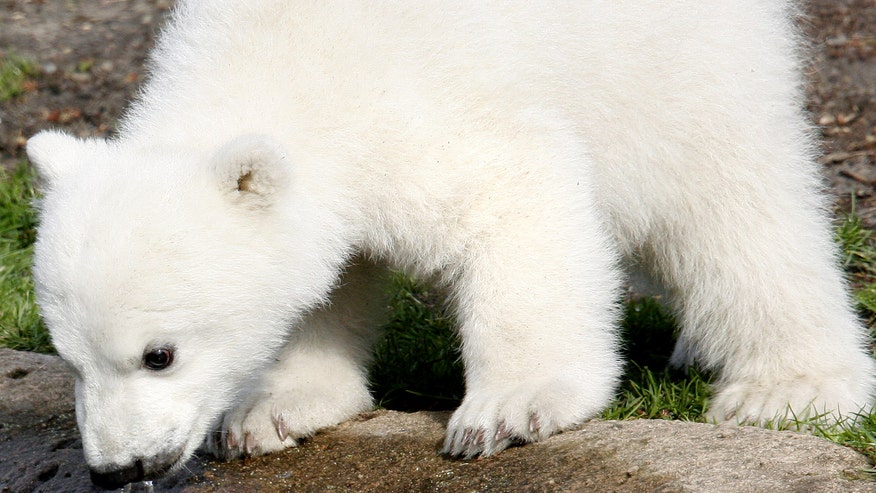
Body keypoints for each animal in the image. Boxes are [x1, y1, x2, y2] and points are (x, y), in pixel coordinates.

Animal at [26, 0, 876, 488]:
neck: (275, 53)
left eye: (158, 354)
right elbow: (322, 279)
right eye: (68, 358)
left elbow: (521, 190)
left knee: (732, 203)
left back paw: (786, 386)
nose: (117, 469)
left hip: (674, 62)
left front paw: (506, 411)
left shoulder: (418, 107)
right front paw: (271, 410)